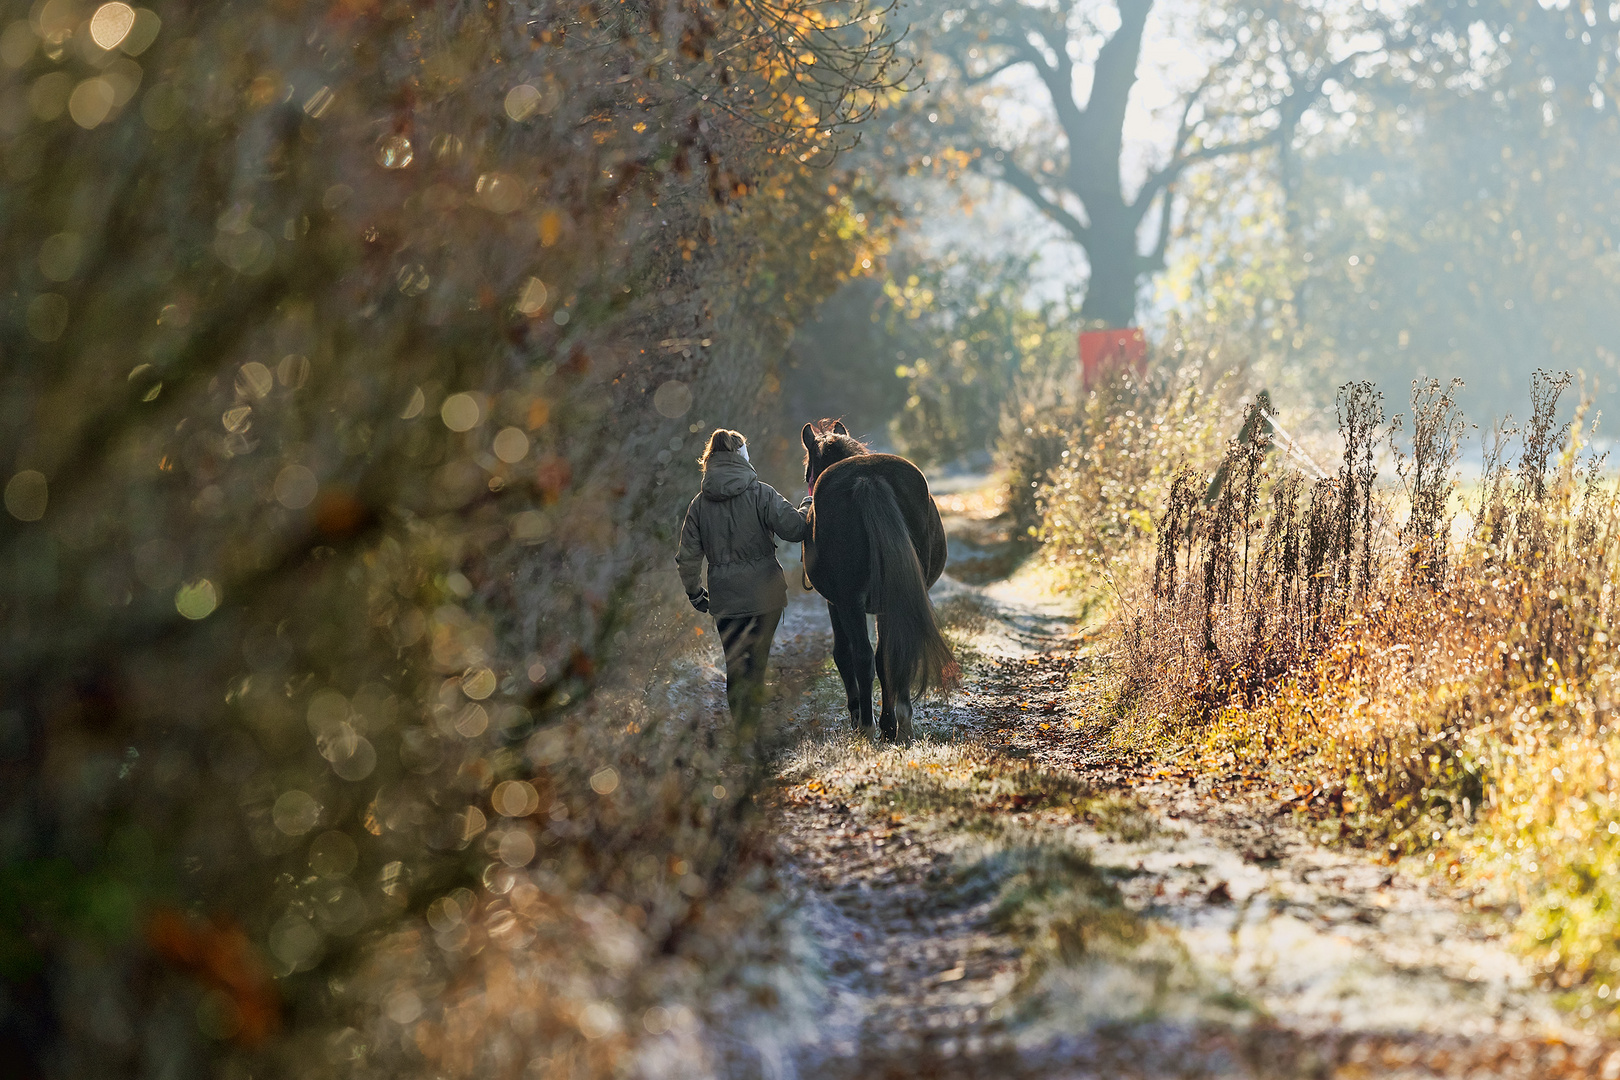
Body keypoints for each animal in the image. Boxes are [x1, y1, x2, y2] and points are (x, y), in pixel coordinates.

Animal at [797, 420, 946, 744]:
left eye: (808, 470)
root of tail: (868, 479)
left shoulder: (835, 603)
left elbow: (844, 655)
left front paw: (859, 718)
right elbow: (884, 657)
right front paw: (889, 725)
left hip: (849, 602)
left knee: (862, 656)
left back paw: (865, 725)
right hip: (894, 597)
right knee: (892, 653)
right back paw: (900, 725)